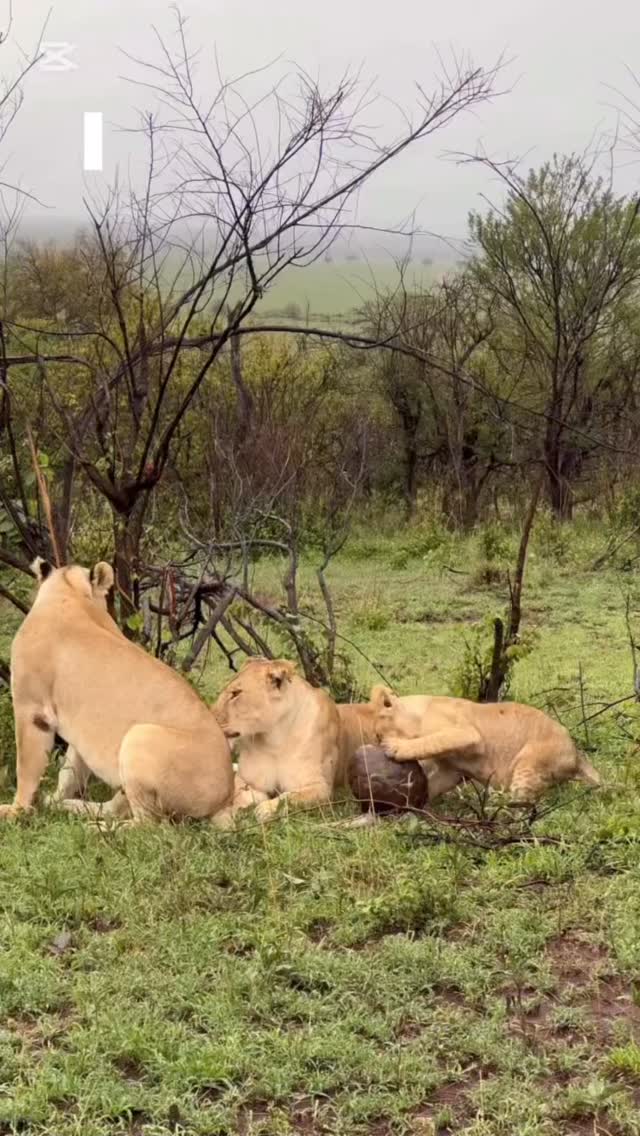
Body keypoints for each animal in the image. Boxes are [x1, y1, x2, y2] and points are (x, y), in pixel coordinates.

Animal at [1, 558, 234, 824]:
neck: (69, 593)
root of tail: (225, 798)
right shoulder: (78, 730)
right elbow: (69, 771)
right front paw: (53, 800)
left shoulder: (31, 710)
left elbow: (26, 767)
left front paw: (17, 810)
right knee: (118, 808)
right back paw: (70, 807)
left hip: (139, 737)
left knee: (149, 825)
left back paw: (96, 827)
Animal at [214, 658, 374, 823]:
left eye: (236, 693)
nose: (212, 716)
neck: (274, 740)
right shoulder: (248, 780)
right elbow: (240, 796)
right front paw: (228, 815)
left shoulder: (321, 787)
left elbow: (289, 797)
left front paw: (265, 809)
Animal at [371, 685, 601, 803]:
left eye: (379, 735)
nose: (378, 742)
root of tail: (577, 754)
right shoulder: (451, 771)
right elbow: (432, 784)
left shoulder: (466, 734)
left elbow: (430, 740)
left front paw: (395, 747)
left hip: (529, 762)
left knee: (527, 802)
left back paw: (497, 803)